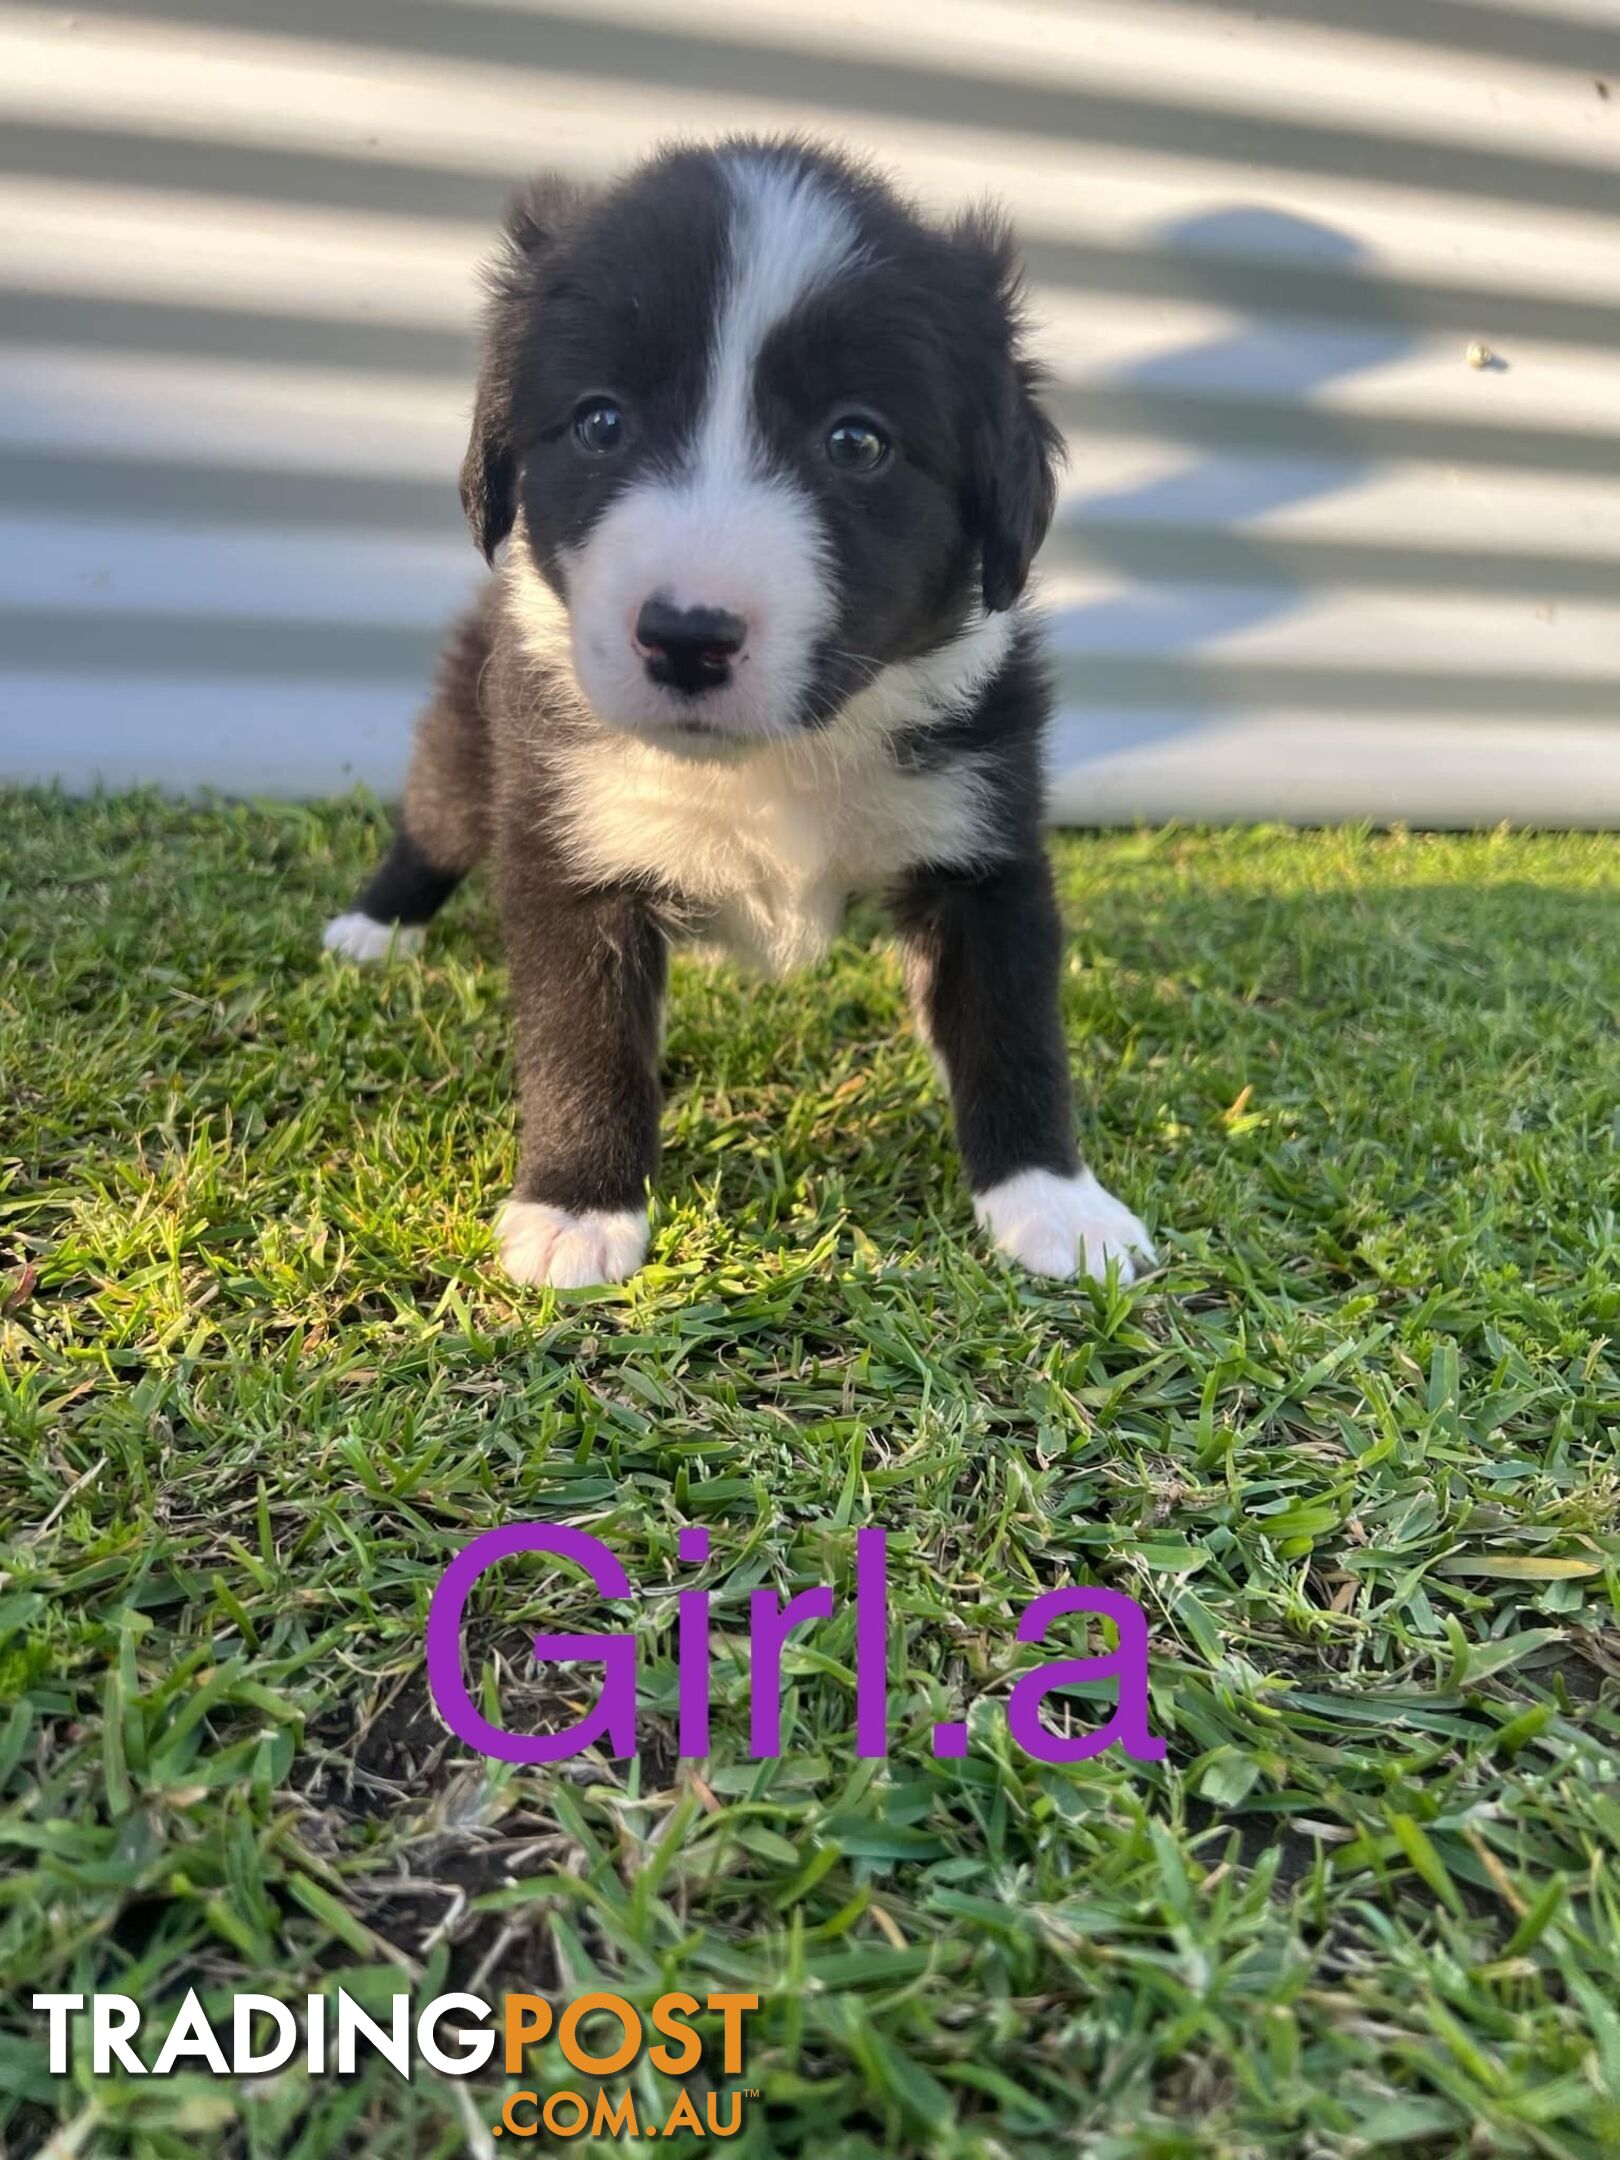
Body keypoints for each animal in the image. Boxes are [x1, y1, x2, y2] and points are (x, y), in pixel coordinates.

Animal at [326, 143, 1157, 1287]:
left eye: (857, 442)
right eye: (600, 422)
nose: (686, 636)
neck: (772, 758)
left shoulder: (980, 841)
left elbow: (1013, 1028)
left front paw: (1054, 1203)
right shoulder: (569, 840)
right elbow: (580, 1037)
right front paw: (577, 1206)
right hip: (469, 746)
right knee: (434, 823)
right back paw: (373, 926)